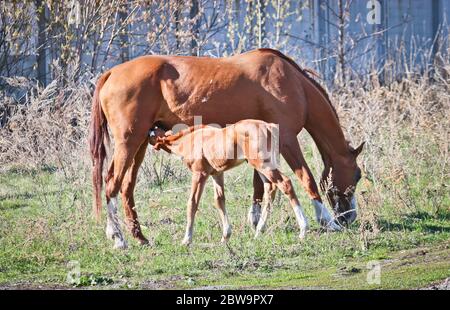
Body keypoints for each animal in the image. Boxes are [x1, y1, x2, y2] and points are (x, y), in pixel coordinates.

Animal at [149, 120, 310, 246]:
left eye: (152, 134)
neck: (190, 139)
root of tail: (270, 127)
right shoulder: (217, 174)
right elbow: (219, 200)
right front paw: (225, 236)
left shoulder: (200, 174)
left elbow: (192, 203)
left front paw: (186, 240)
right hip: (262, 167)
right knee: (270, 189)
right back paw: (259, 231)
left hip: (263, 165)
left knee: (285, 183)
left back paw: (303, 230)